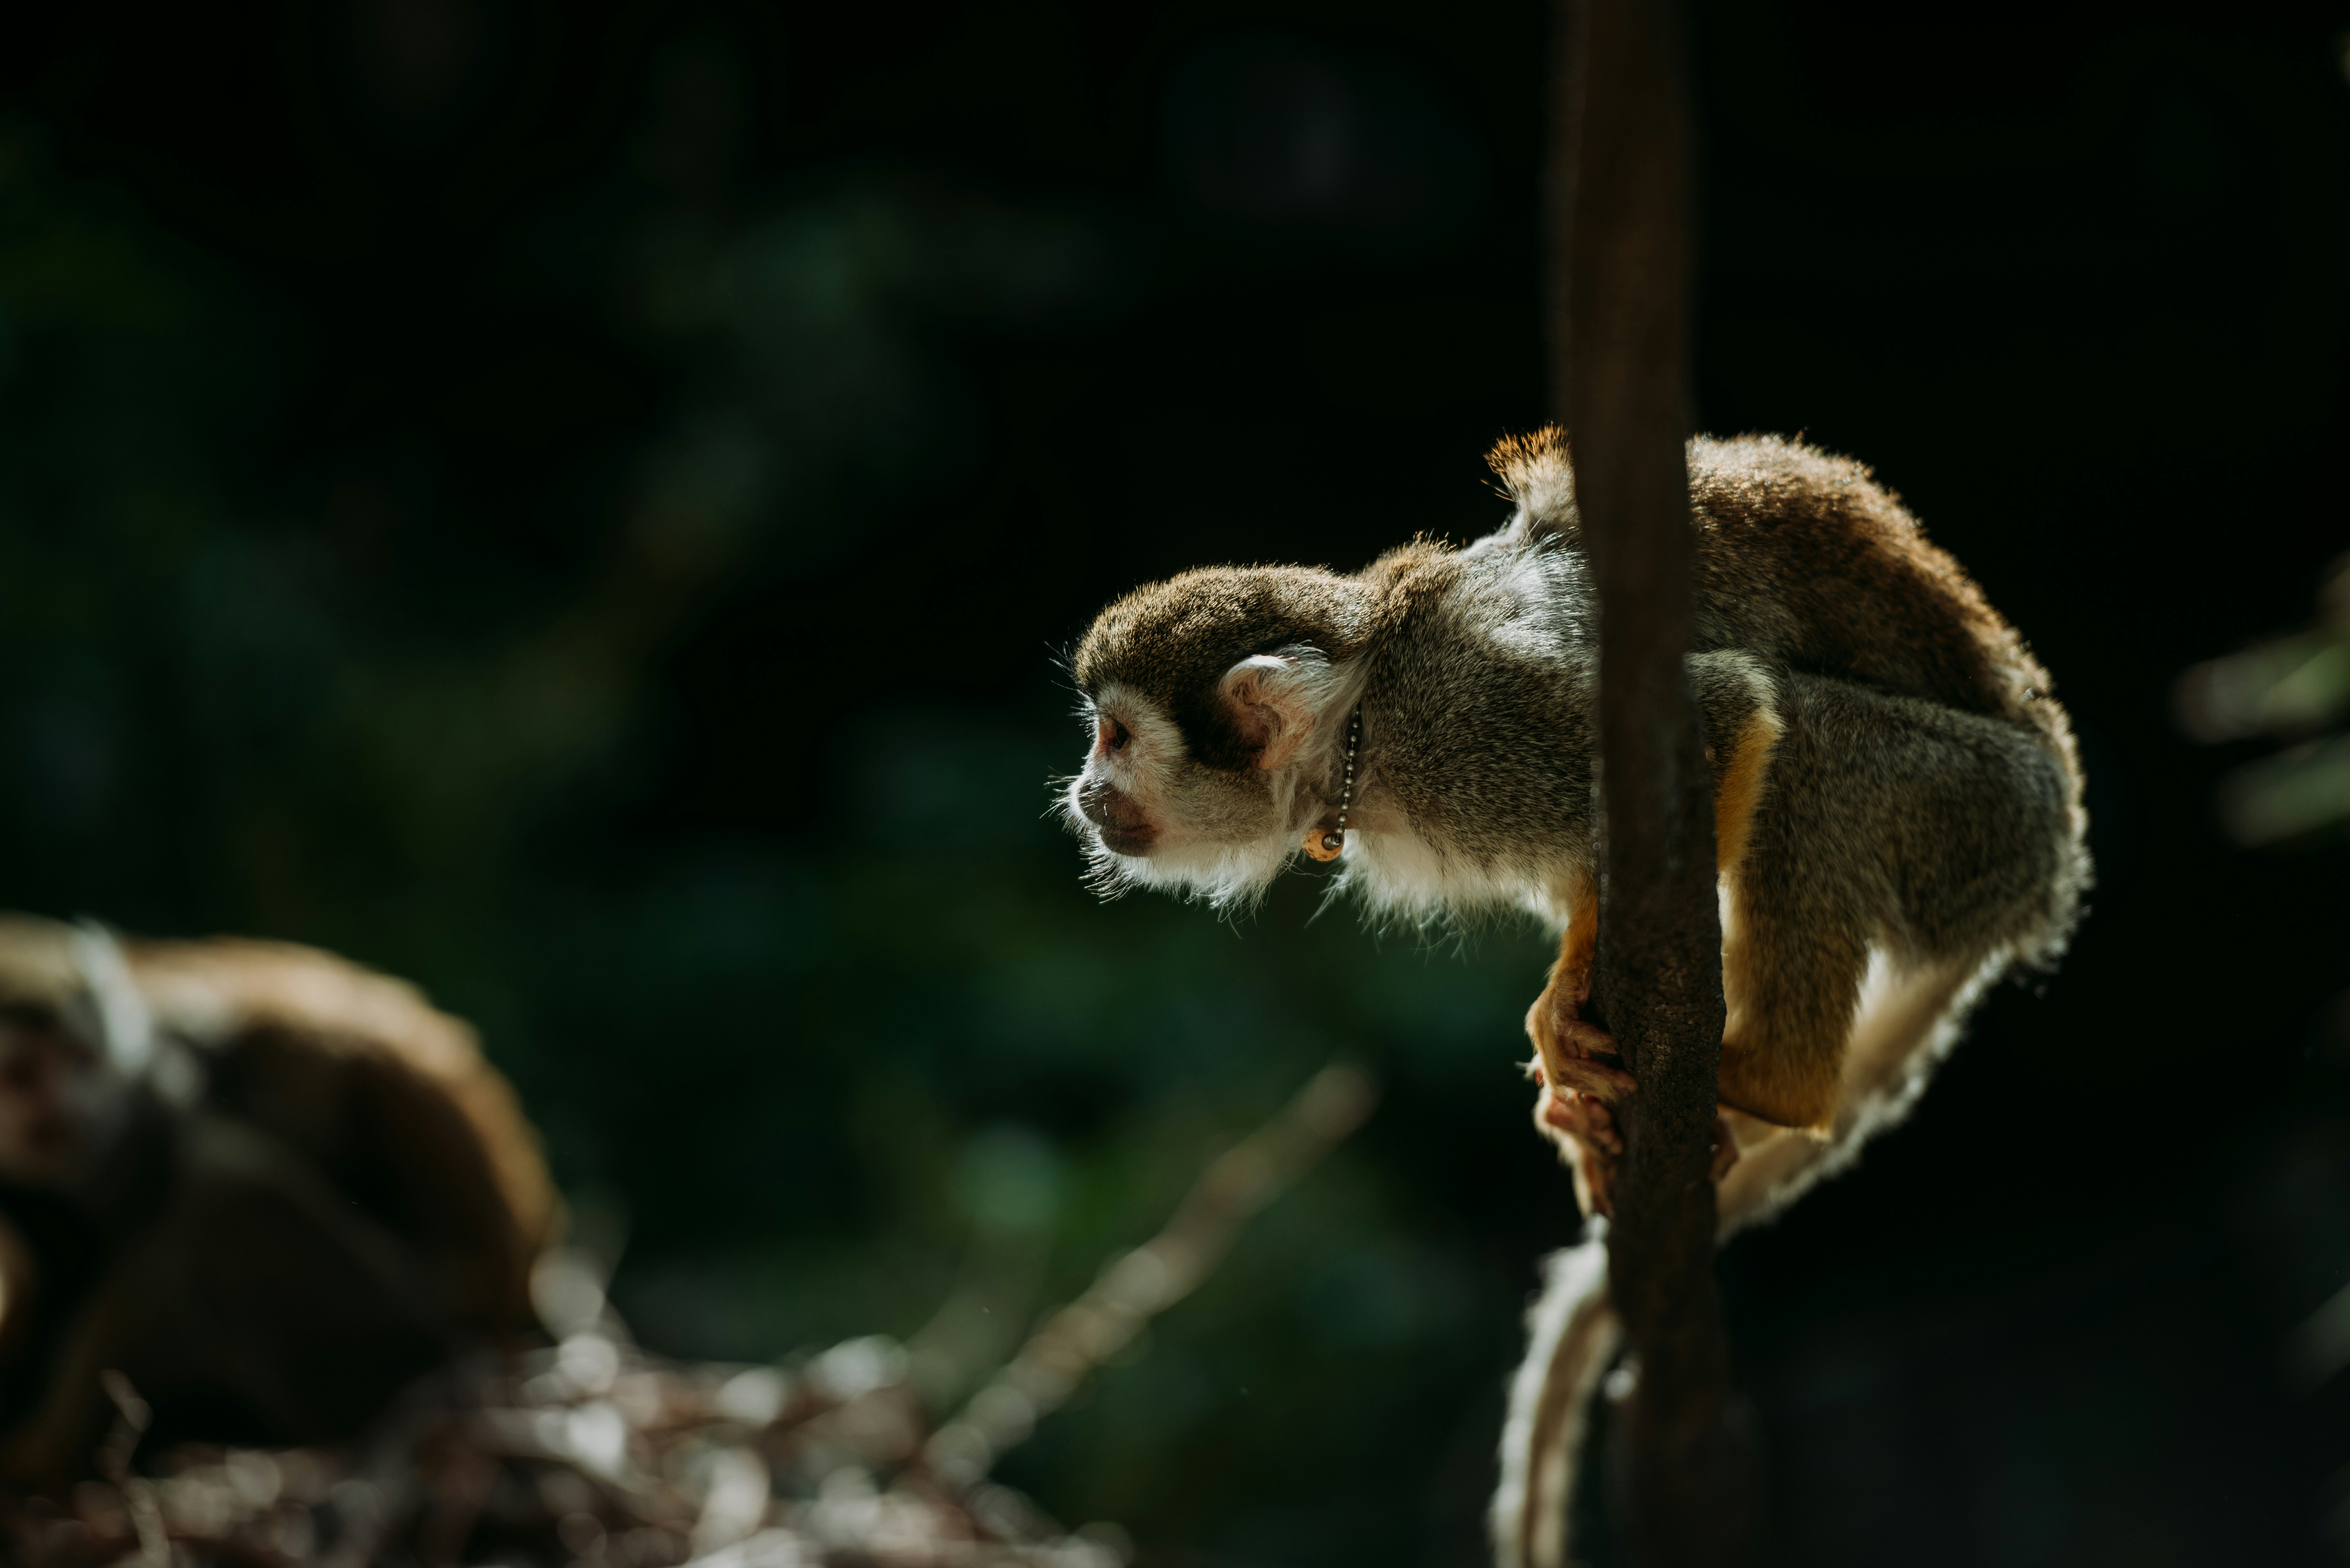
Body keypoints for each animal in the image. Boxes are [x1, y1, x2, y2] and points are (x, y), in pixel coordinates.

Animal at [1057, 428, 2088, 1567]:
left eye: (1115, 737)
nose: (1084, 794)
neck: (1363, 729)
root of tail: (2047, 880)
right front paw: (1567, 1027)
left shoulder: (1476, 722)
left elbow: (1729, 708)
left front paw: (1572, 1004)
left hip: (1977, 816)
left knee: (1819, 743)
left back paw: (1769, 1081)